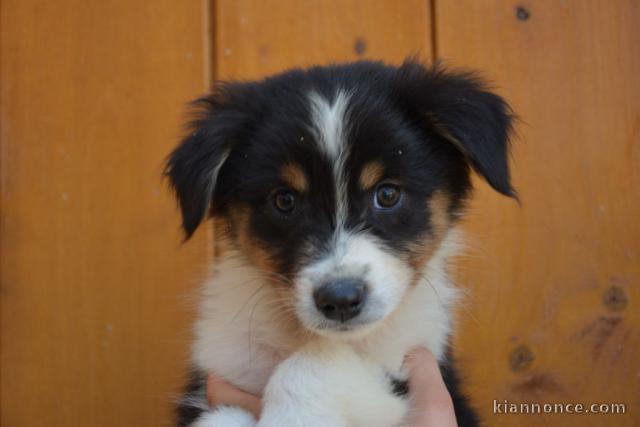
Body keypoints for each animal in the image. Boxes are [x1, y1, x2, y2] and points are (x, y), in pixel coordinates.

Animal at [166, 58, 516, 426]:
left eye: (387, 194)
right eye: (284, 201)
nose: (341, 299)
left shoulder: (408, 370)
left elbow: (317, 362)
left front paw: (291, 416)